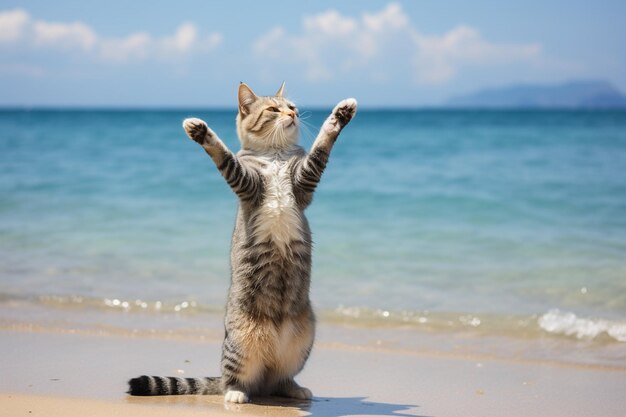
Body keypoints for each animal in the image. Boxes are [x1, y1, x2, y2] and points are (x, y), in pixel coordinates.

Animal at [127, 82, 356, 404]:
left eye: (292, 107)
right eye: (273, 109)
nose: (293, 114)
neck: (275, 155)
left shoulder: (304, 179)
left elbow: (322, 144)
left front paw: (341, 115)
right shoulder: (245, 181)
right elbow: (224, 156)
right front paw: (201, 132)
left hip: (302, 342)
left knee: (280, 379)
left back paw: (294, 389)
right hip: (241, 345)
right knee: (235, 380)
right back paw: (236, 392)